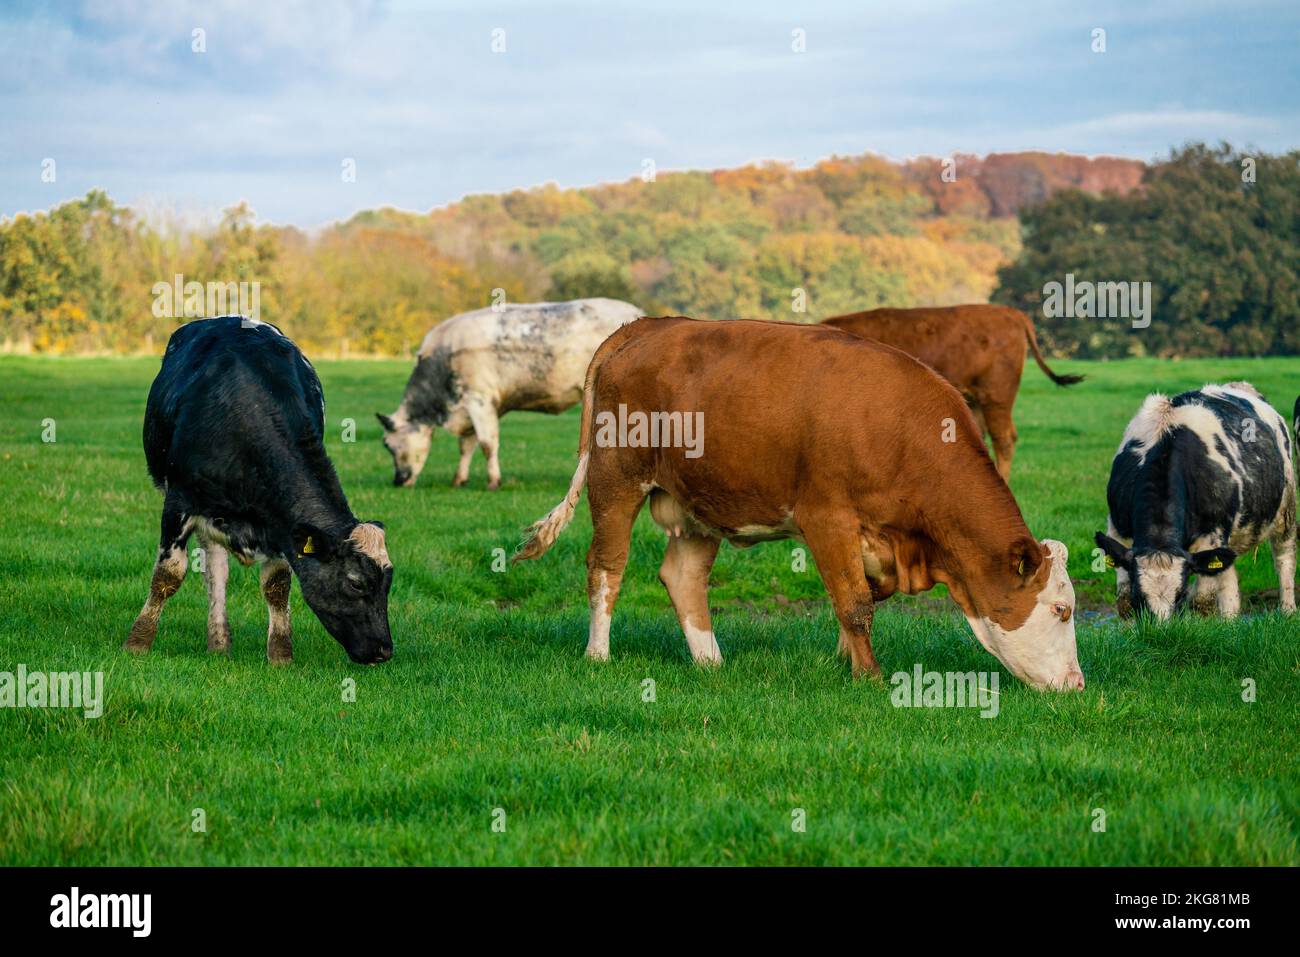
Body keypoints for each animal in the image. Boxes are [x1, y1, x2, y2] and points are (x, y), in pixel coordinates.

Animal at [126, 316, 395, 664]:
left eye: (388, 584)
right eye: (356, 583)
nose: (384, 650)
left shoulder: (280, 522)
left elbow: (277, 585)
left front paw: (280, 655)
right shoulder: (179, 501)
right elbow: (168, 574)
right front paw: (138, 642)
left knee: (216, 568)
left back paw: (218, 642)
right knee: (214, 568)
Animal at [377, 298, 642, 489]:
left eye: (388, 445)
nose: (397, 481)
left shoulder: (479, 399)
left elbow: (487, 443)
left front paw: (493, 481)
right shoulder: (469, 409)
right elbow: (467, 445)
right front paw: (459, 479)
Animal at [1095, 383, 1296, 620]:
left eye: (1180, 595)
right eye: (1140, 596)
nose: (1160, 628)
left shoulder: (1211, 536)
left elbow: (1202, 600)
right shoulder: (1119, 532)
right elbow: (1124, 602)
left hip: (1286, 509)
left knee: (1284, 559)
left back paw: (1288, 610)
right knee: (1228, 579)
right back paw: (1229, 619)